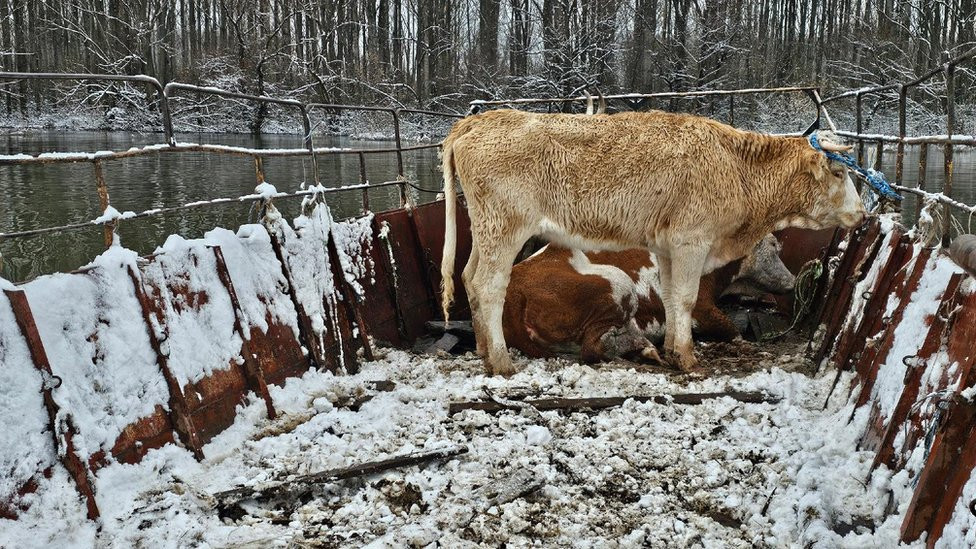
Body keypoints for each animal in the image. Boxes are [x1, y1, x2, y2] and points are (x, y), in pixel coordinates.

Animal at [504, 233, 792, 362]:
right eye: (775, 247)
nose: (792, 281)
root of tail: (516, 284)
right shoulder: (700, 305)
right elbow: (730, 328)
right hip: (617, 280)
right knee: (592, 347)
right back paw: (644, 347)